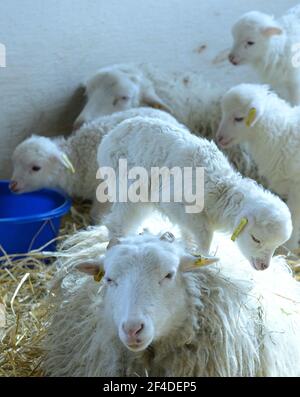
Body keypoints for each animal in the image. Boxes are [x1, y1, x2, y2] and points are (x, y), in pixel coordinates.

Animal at [10, 106, 177, 221]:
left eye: (36, 168)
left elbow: (97, 214)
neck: (79, 158)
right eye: (15, 164)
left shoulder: (104, 190)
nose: (12, 186)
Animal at [98, 114, 292, 270]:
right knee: (117, 222)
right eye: (256, 239)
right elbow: (204, 231)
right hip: (128, 184)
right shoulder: (176, 202)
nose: (263, 266)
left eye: (277, 245)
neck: (222, 190)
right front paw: (204, 255)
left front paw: (189, 249)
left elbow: (188, 232)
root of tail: (112, 133)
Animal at [216, 83, 300, 251]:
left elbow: (295, 217)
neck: (282, 135)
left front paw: (288, 247)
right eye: (223, 112)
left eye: (239, 118)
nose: (219, 138)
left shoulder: (296, 187)